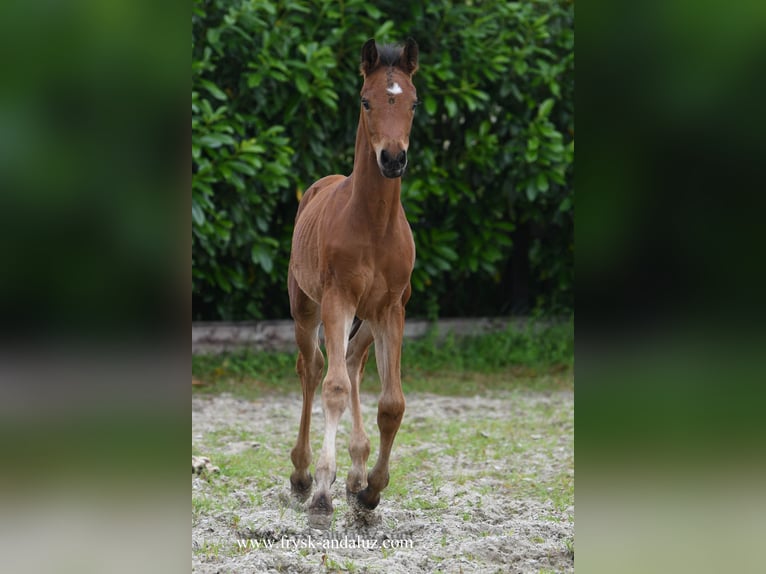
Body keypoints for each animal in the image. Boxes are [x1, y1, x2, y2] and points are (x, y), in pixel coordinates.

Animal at [288, 38, 420, 528]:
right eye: (367, 100)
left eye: (413, 102)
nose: (393, 159)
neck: (374, 224)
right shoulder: (337, 300)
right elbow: (334, 388)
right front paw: (322, 494)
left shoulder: (392, 309)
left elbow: (392, 403)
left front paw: (370, 491)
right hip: (305, 308)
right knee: (312, 369)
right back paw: (303, 474)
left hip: (367, 319)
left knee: (353, 363)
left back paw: (355, 471)